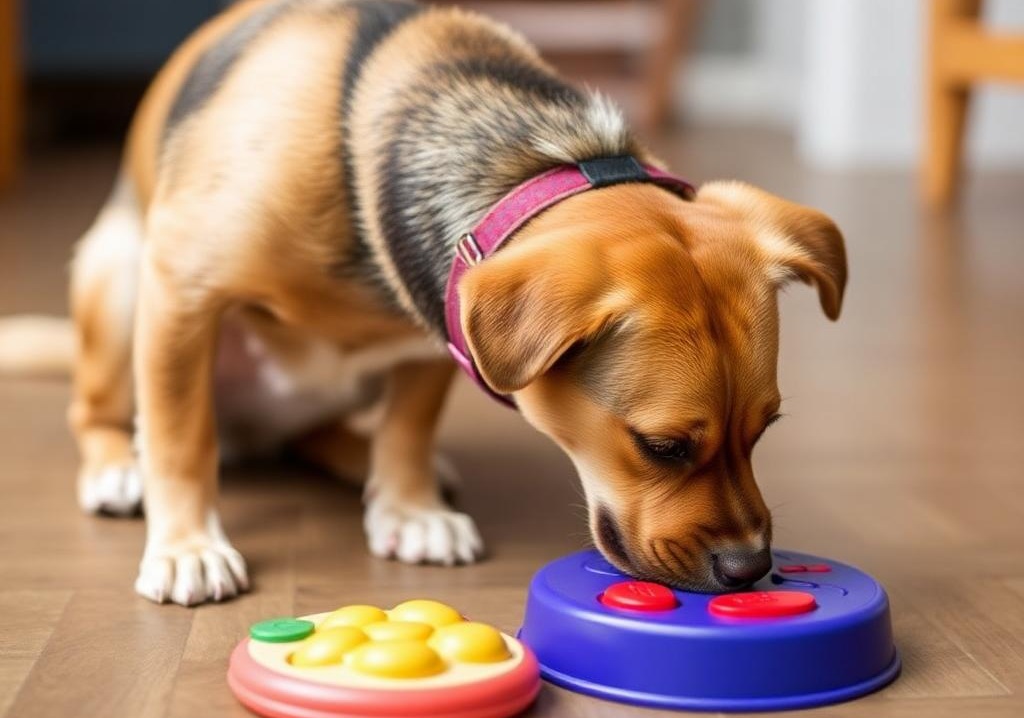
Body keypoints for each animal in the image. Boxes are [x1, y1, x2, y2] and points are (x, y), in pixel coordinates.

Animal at [0, 0, 847, 606]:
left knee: (317, 434)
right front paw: (186, 547)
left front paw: (409, 506)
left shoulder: (437, 328)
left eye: (765, 430)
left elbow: (407, 428)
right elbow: (181, 439)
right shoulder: (182, 288)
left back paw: (368, 463)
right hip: (116, 281)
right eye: (662, 446)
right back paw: (119, 468)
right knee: (106, 414)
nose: (752, 569)